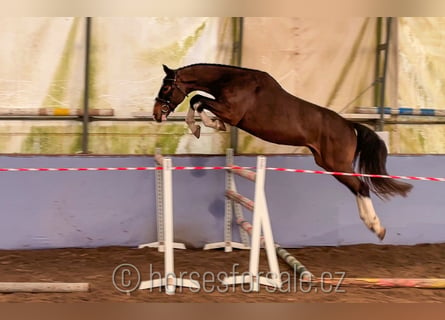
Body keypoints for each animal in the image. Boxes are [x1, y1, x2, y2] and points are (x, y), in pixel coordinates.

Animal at [153, 63, 412, 240]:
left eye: (166, 86)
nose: (156, 114)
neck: (232, 80)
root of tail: (350, 126)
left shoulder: (231, 112)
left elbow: (197, 100)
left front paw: (202, 126)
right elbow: (197, 101)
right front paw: (203, 126)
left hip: (337, 164)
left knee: (362, 187)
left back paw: (376, 227)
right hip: (328, 165)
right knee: (357, 188)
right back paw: (372, 225)